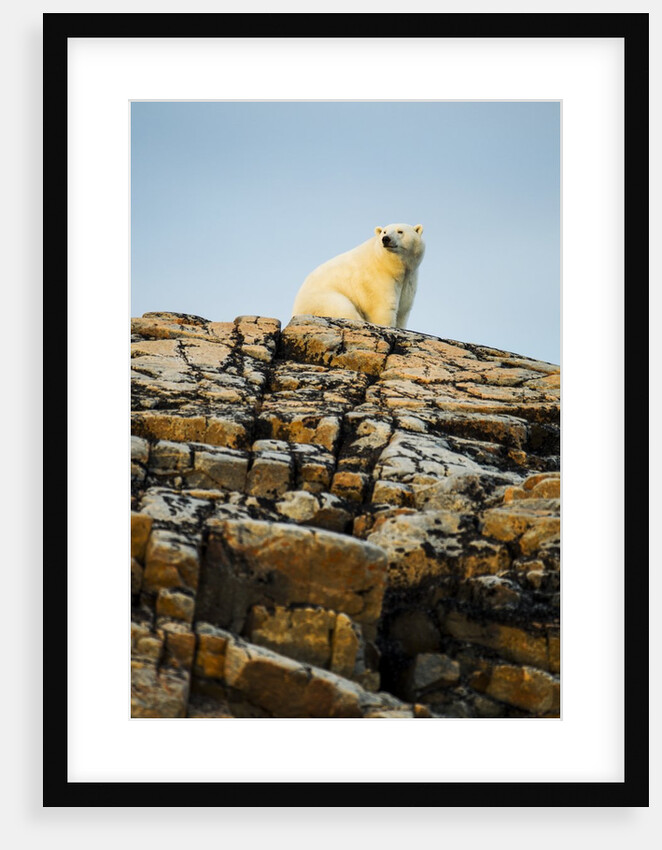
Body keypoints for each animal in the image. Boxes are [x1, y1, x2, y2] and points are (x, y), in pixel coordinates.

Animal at [292, 223, 425, 328]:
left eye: (400, 231)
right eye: (384, 231)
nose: (385, 239)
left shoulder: (409, 279)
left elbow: (403, 309)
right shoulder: (377, 279)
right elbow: (384, 308)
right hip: (324, 299)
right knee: (343, 308)